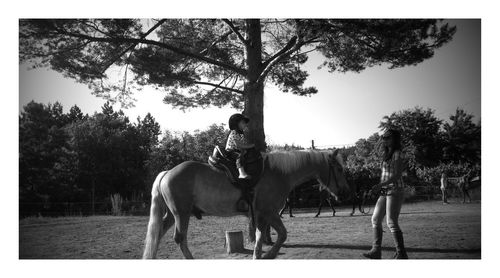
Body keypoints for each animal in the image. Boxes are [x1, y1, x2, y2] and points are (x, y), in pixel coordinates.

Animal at [143, 149, 350, 260]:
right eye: (339, 169)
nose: (345, 192)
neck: (278, 174)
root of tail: (168, 172)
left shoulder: (266, 214)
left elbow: (269, 235)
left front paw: (264, 255)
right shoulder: (268, 212)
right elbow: (276, 236)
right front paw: (264, 255)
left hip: (173, 214)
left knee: (158, 234)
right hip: (181, 213)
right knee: (179, 238)